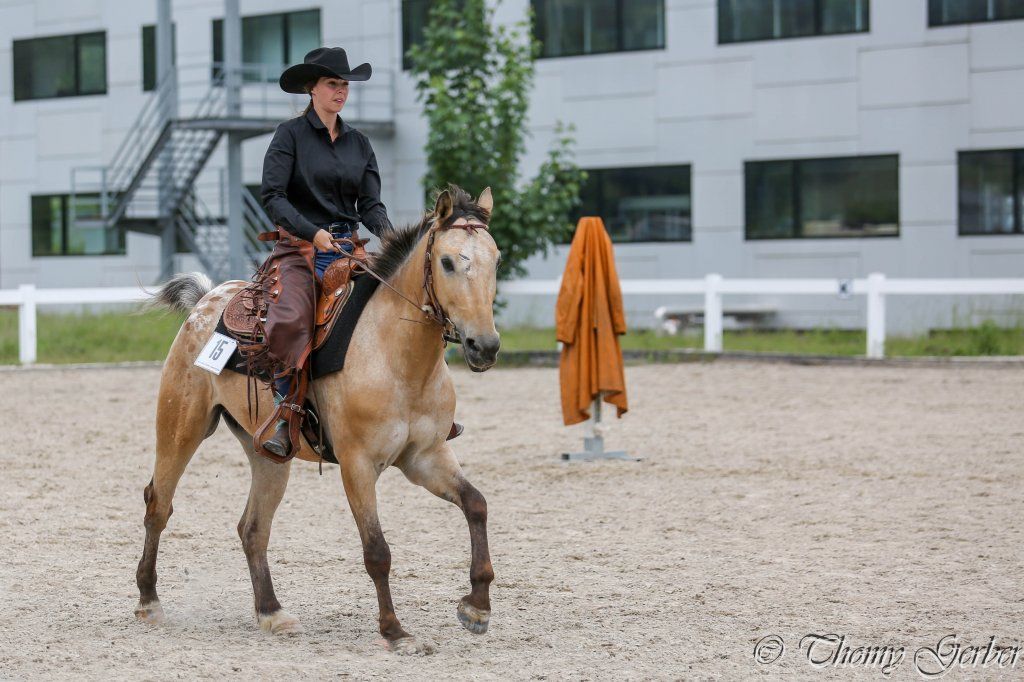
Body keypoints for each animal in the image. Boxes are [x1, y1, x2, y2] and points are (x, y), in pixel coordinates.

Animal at [134, 186, 500, 654]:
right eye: (448, 262)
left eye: (497, 260)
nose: (484, 346)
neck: (395, 355)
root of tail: (206, 301)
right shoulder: (358, 465)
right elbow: (377, 551)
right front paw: (395, 631)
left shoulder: (426, 457)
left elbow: (476, 504)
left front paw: (477, 607)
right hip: (181, 428)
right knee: (158, 506)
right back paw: (149, 602)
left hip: (268, 456)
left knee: (253, 528)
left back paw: (272, 613)